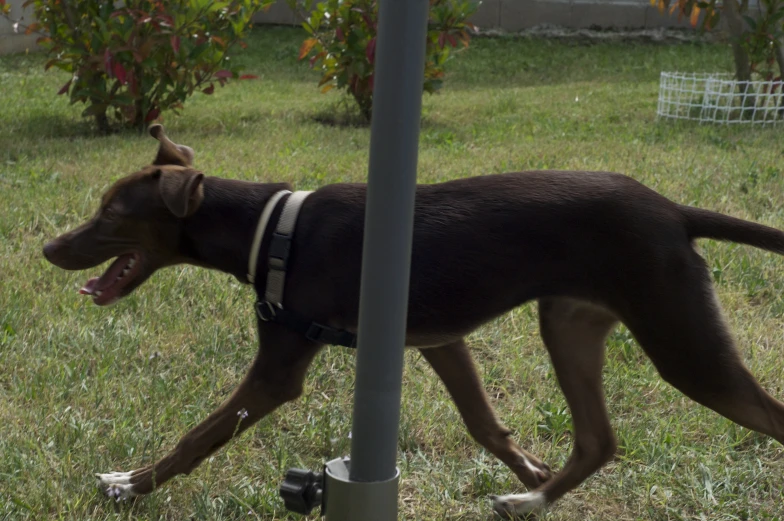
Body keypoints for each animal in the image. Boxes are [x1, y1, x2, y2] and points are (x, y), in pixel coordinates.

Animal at [41, 126, 784, 516]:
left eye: (111, 213)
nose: (49, 248)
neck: (271, 228)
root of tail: (674, 211)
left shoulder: (279, 368)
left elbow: (198, 436)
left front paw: (129, 484)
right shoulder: (439, 340)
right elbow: (485, 424)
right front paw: (527, 471)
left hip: (680, 338)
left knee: (764, 415)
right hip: (571, 324)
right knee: (599, 440)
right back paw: (533, 501)